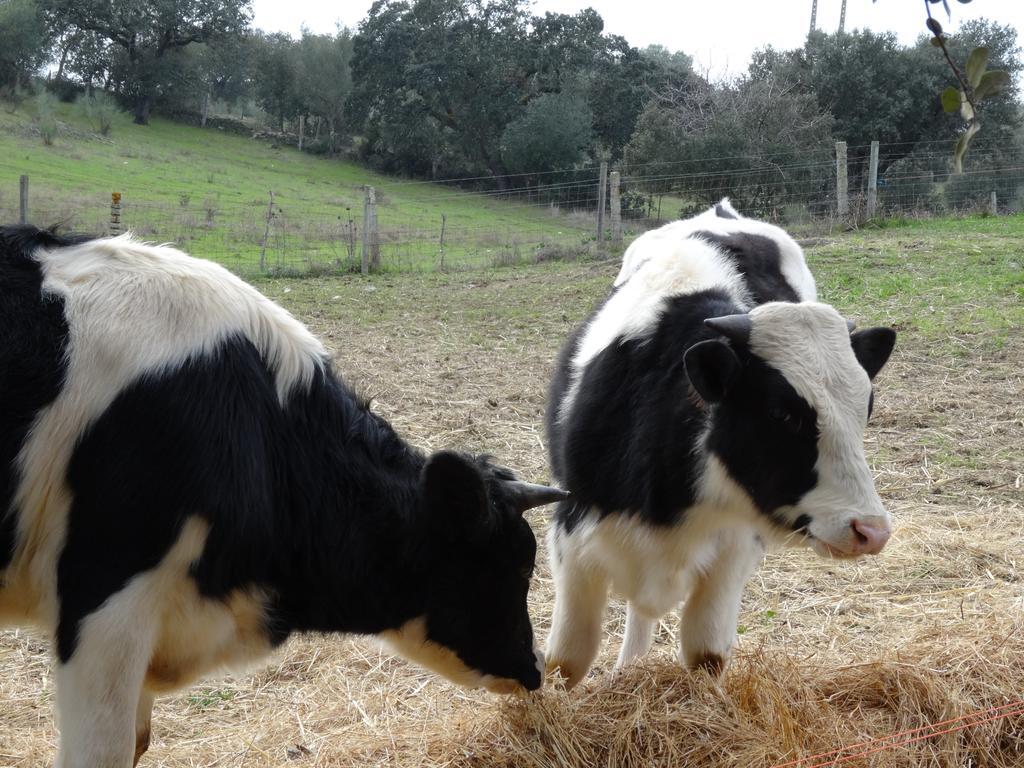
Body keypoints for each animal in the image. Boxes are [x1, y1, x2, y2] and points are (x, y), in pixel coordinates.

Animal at [544, 201, 897, 688]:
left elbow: (705, 654)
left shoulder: (732, 551)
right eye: (781, 413)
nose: (871, 531)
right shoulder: (573, 533)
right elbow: (566, 661)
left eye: (866, 407)